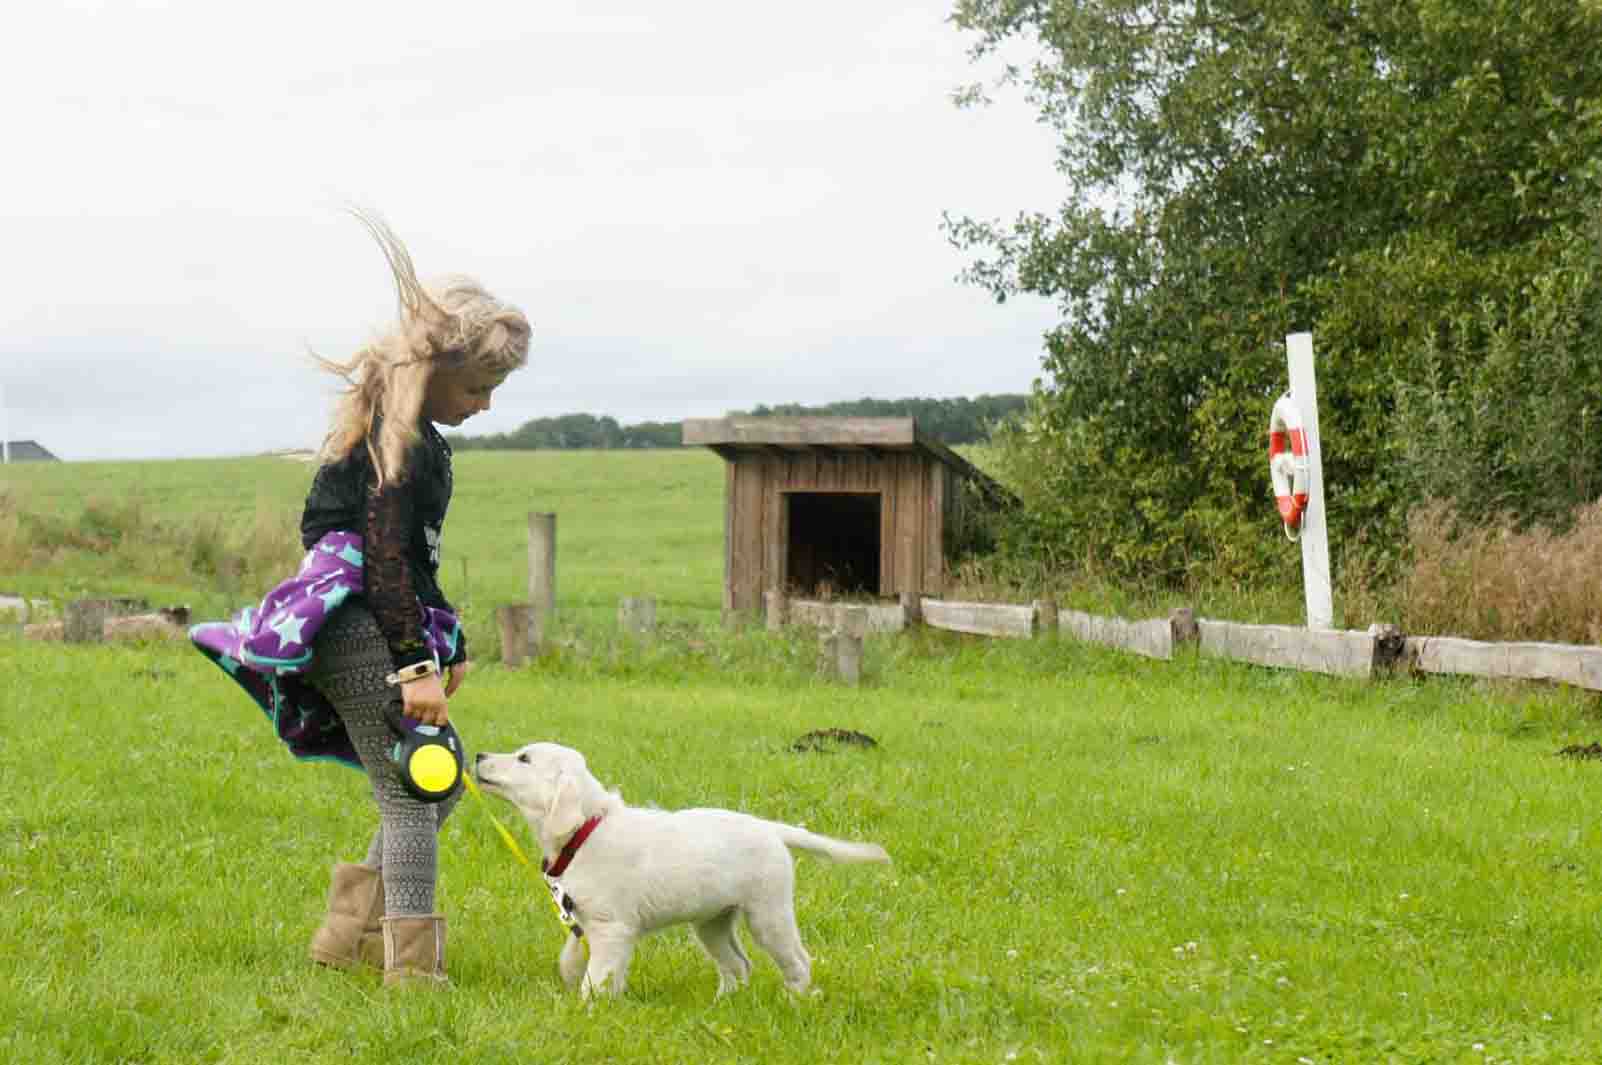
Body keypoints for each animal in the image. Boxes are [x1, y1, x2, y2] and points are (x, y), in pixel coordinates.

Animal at [473, 742, 890, 997]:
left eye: (524, 758)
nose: (477, 755)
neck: (586, 830)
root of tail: (770, 828)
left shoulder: (612, 928)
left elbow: (597, 976)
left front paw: (586, 1009)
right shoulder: (587, 922)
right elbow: (581, 963)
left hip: (768, 913)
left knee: (797, 960)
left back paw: (796, 999)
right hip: (712, 923)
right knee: (738, 965)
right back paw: (723, 1004)